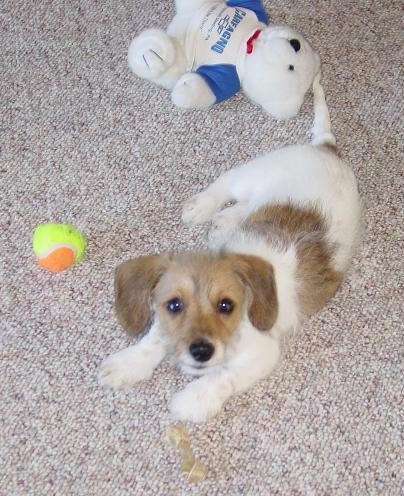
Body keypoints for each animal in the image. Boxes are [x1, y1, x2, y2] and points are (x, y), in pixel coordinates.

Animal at [99, 76, 362, 422]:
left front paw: (192, 401)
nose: (201, 351)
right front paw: (128, 363)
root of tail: (327, 149)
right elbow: (153, 338)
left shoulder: (262, 353)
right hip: (254, 174)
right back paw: (204, 209)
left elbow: (222, 377)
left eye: (226, 306)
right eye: (174, 305)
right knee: (225, 185)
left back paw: (221, 220)